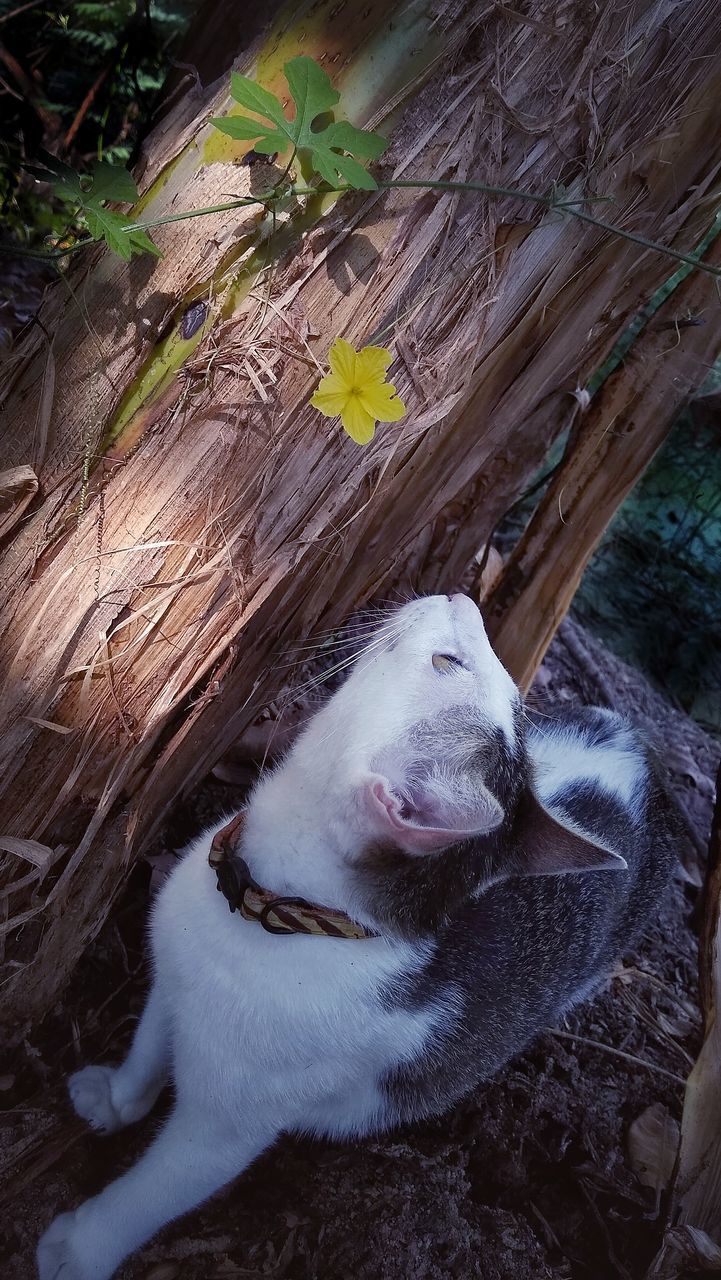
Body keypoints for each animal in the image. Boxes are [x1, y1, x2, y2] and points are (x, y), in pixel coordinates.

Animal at [35, 591, 676, 1280]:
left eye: (445, 661)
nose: (462, 598)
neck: (271, 911)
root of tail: (643, 748)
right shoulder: (174, 978)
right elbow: (151, 1044)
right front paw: (118, 1097)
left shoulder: (226, 1129)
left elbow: (152, 1192)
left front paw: (80, 1247)